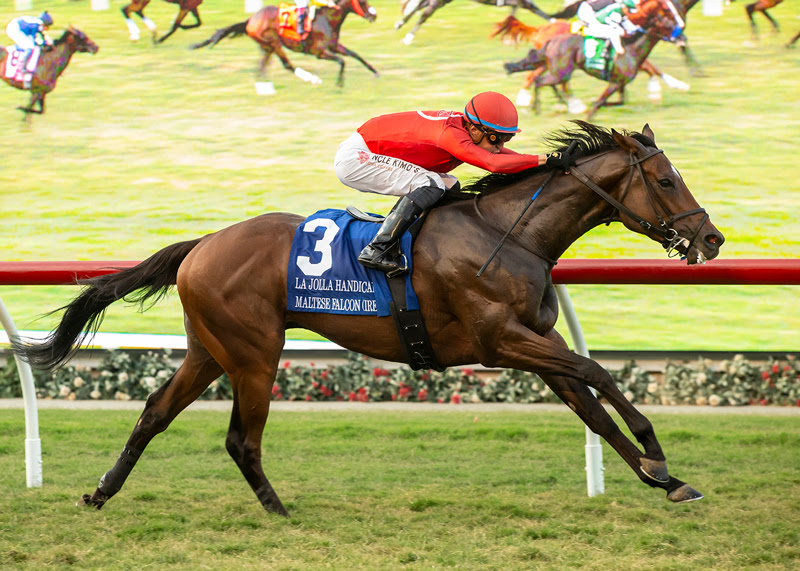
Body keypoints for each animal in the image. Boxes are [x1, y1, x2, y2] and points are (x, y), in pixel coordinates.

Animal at [15, 121, 724, 516]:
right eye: (666, 181)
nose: (711, 239)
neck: (509, 232)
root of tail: (203, 243)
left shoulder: (534, 339)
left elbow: (593, 409)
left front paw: (667, 481)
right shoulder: (501, 342)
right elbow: (598, 374)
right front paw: (658, 457)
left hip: (209, 348)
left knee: (155, 412)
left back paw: (102, 491)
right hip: (254, 352)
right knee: (241, 439)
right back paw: (278, 510)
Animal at [191, 0, 378, 89]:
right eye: (362, 2)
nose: (373, 16)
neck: (328, 19)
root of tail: (250, 19)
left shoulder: (334, 46)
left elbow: (355, 55)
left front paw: (375, 71)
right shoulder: (319, 52)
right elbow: (342, 61)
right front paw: (339, 84)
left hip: (267, 47)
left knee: (261, 67)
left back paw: (263, 83)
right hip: (274, 43)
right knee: (287, 65)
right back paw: (313, 79)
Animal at [504, 0, 689, 119]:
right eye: (668, 21)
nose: (683, 37)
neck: (631, 48)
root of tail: (546, 33)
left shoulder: (620, 82)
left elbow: (619, 101)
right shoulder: (615, 82)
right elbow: (600, 102)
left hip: (555, 69)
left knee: (541, 80)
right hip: (560, 72)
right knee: (538, 80)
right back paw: (540, 106)